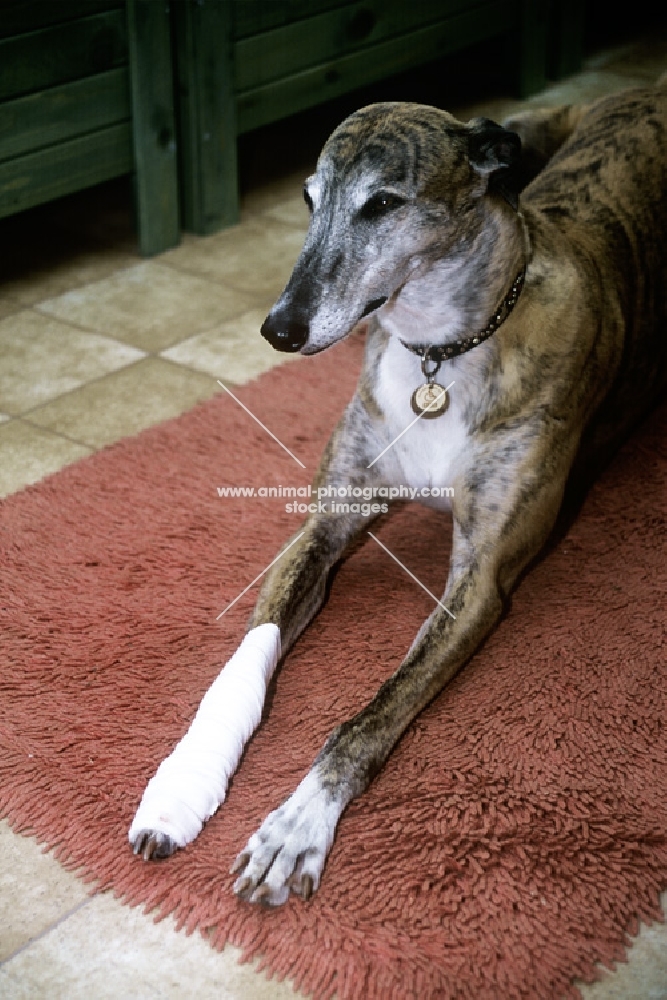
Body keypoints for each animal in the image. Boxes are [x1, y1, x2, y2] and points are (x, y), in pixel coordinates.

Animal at [134, 80, 667, 908]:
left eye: (382, 203)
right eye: (309, 197)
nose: (279, 330)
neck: (437, 355)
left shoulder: (478, 582)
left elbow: (369, 716)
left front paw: (296, 825)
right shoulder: (325, 523)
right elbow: (243, 661)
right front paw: (181, 784)